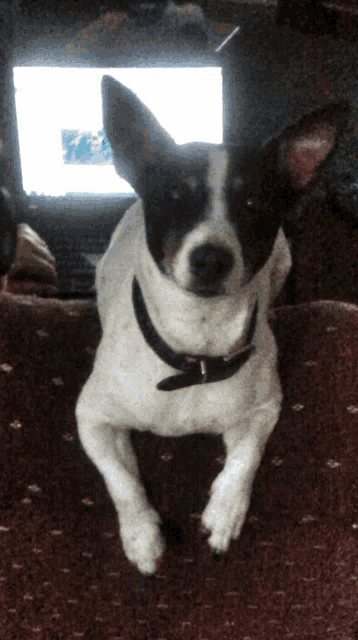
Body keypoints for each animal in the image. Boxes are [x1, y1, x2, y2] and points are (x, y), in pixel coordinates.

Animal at [75, 75, 346, 576]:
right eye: (174, 198)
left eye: (254, 203)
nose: (211, 259)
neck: (194, 350)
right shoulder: (92, 418)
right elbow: (120, 478)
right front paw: (142, 536)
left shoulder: (265, 409)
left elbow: (245, 457)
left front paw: (224, 512)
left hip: (284, 262)